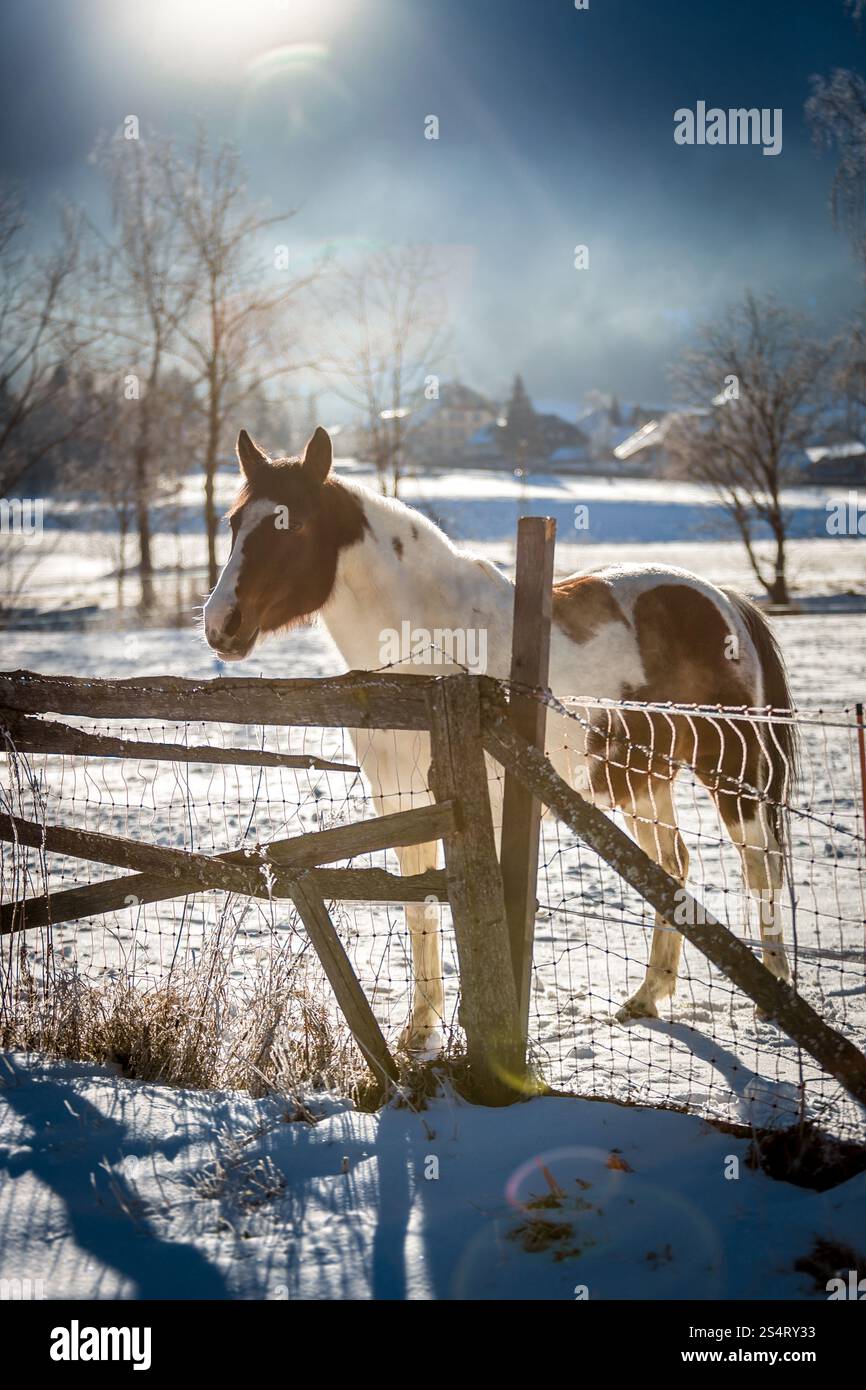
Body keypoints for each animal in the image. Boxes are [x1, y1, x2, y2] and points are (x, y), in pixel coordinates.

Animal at [203, 425, 796, 1049]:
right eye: (234, 523)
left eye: (292, 526)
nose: (221, 625)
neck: (426, 647)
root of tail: (724, 599)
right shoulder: (401, 800)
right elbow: (419, 905)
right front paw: (421, 1029)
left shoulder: (486, 801)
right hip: (640, 781)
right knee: (670, 868)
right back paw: (646, 995)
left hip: (733, 774)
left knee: (760, 867)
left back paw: (773, 998)